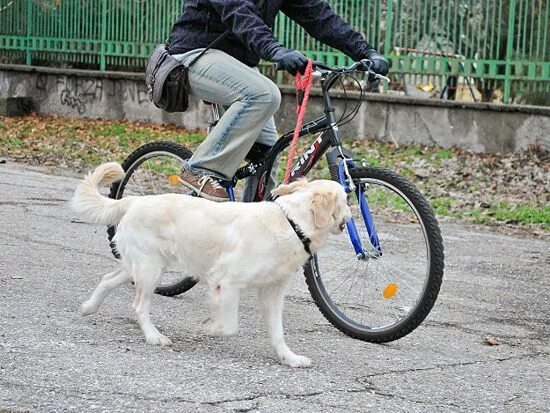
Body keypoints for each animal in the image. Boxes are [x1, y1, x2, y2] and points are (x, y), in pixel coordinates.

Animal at [71, 162, 352, 366]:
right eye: (346, 201)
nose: (350, 217)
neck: (292, 223)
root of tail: (136, 200)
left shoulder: (272, 293)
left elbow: (277, 332)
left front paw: (290, 358)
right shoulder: (226, 282)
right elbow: (230, 326)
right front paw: (210, 327)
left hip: (139, 266)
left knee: (107, 280)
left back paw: (88, 307)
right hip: (150, 270)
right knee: (139, 305)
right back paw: (154, 336)